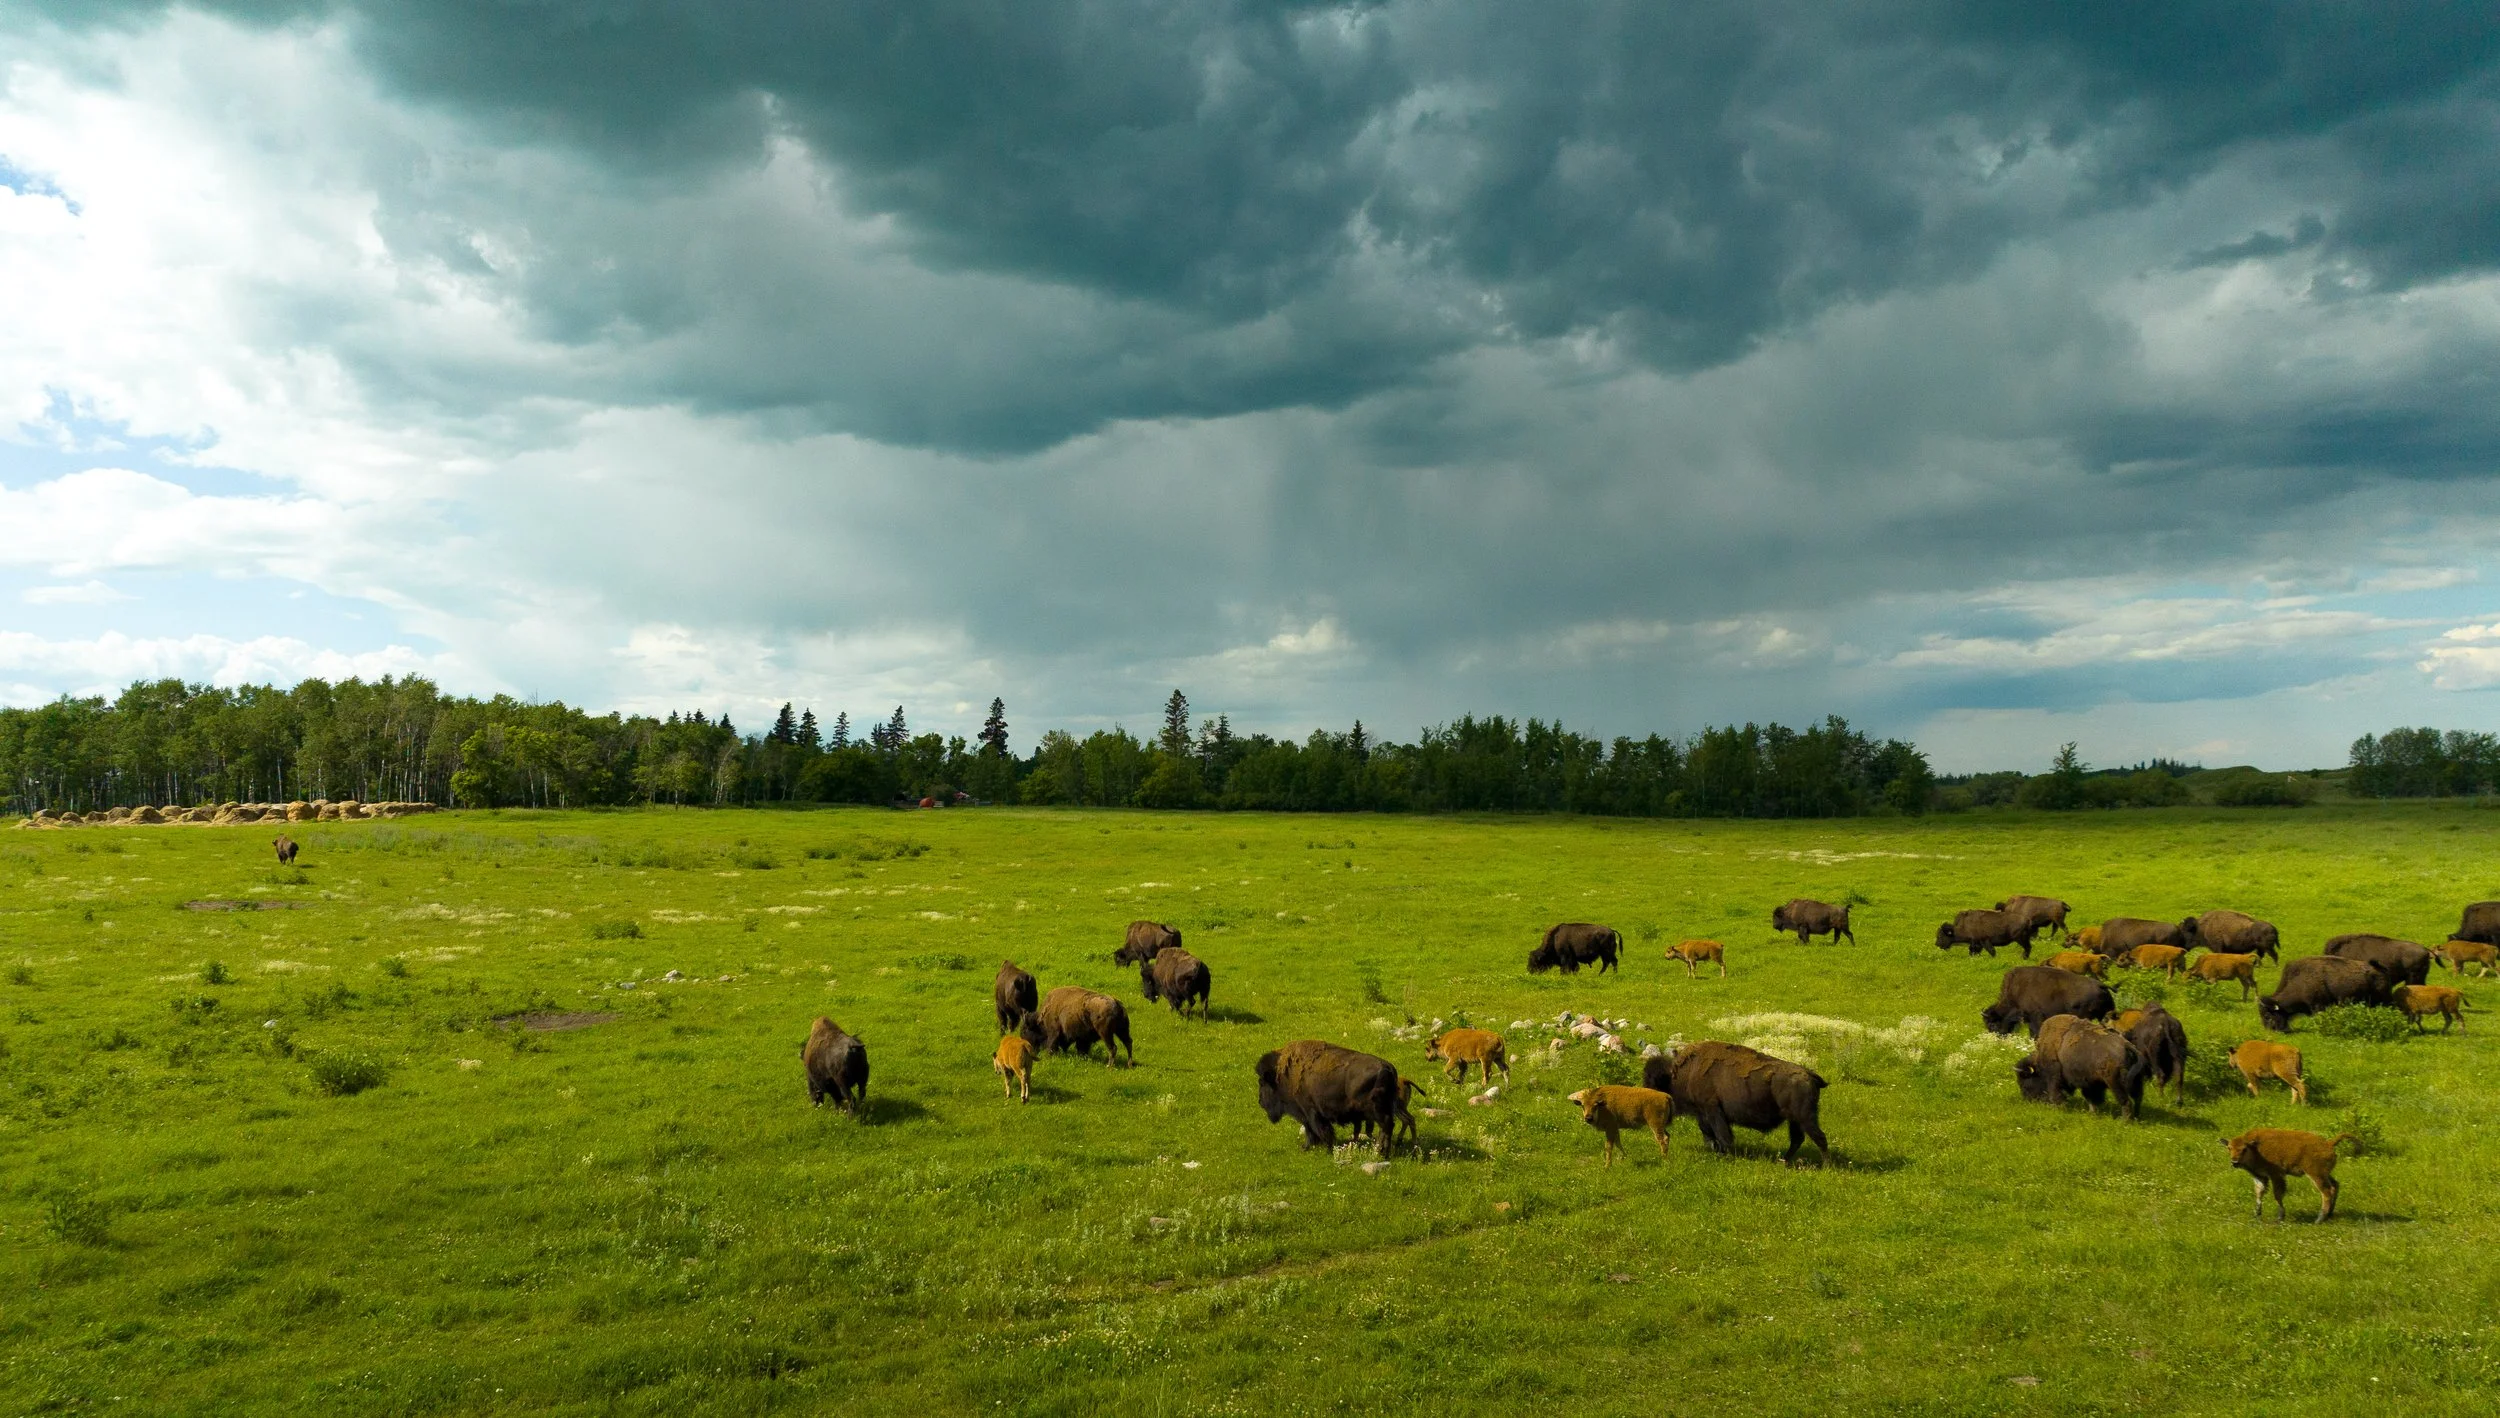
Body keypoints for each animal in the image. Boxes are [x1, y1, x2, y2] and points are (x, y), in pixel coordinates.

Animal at [1255, 1040, 1403, 1158]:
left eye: (1262, 1083)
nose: (1260, 1101)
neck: (1282, 1075)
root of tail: (1387, 1068)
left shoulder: (1309, 1111)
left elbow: (1317, 1130)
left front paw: (1324, 1149)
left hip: (1376, 1110)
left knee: (1386, 1126)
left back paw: (1382, 1153)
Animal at [1639, 1041, 1831, 1166]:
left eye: (1652, 1082)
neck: (1680, 1075)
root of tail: (1809, 1074)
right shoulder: (1703, 1114)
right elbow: (1709, 1135)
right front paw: (1718, 1152)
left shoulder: (1713, 1111)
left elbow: (1723, 1136)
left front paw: (1727, 1156)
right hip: (1795, 1120)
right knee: (1798, 1139)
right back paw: (1783, 1161)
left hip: (1805, 1117)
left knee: (1819, 1137)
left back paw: (1826, 1166)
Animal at [2015, 1014, 2149, 1119]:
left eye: (2024, 1081)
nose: (2028, 1100)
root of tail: (2126, 1045)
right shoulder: (2089, 1083)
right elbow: (2091, 1098)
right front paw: (2092, 1113)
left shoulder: (2054, 1077)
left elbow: (2055, 1093)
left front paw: (2058, 1107)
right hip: (2136, 1080)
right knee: (2137, 1098)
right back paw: (2136, 1117)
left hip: (2114, 1082)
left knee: (2125, 1101)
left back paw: (2124, 1121)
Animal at [2223, 1128, 2355, 1223]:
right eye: (2229, 1148)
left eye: (2244, 1149)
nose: (2234, 1162)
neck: (2255, 1148)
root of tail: (2329, 1143)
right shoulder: (2260, 1176)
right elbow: (2259, 1193)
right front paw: (2257, 1215)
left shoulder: (2276, 1175)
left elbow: (2277, 1195)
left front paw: (2280, 1217)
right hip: (2325, 1174)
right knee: (2335, 1185)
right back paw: (2329, 1214)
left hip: (2315, 1175)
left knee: (2327, 1192)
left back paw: (2319, 1220)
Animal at [2259, 954, 2394, 1033]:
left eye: (2267, 1015)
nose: (2270, 1031)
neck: (2298, 980)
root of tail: (2379, 968)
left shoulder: (2318, 1006)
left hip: (2384, 1000)